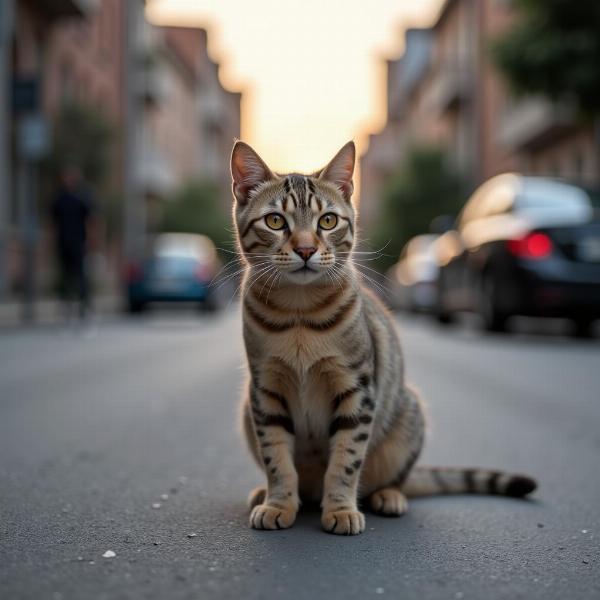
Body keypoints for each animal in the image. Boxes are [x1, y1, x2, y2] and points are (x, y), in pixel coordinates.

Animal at [232, 139, 536, 536]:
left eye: (327, 221)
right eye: (275, 221)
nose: (305, 249)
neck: (299, 314)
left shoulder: (356, 389)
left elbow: (345, 460)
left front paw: (341, 508)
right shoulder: (266, 390)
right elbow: (277, 459)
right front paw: (278, 503)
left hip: (408, 416)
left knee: (391, 479)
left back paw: (388, 496)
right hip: (247, 410)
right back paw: (267, 494)